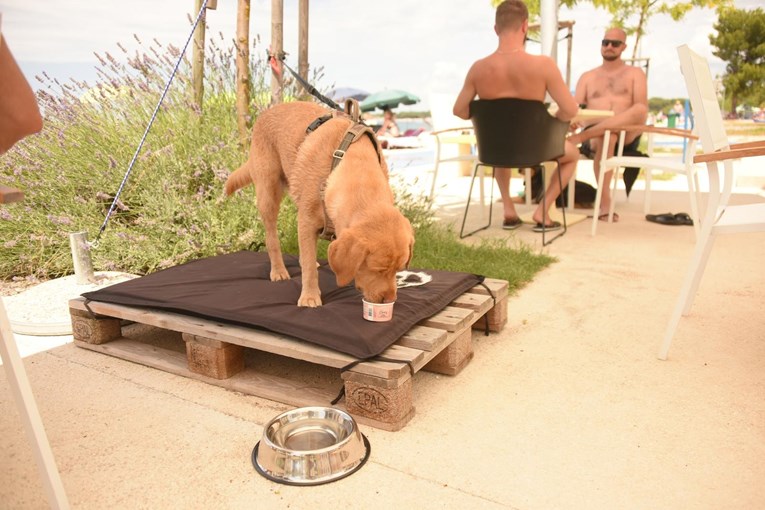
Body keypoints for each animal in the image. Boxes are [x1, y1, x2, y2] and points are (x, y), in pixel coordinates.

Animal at [224, 101, 414, 304]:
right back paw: (278, 270)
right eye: (378, 269)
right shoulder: (306, 222)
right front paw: (309, 297)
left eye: (399, 269)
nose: (390, 300)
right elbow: (308, 268)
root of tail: (266, 112)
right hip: (268, 193)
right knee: (272, 238)